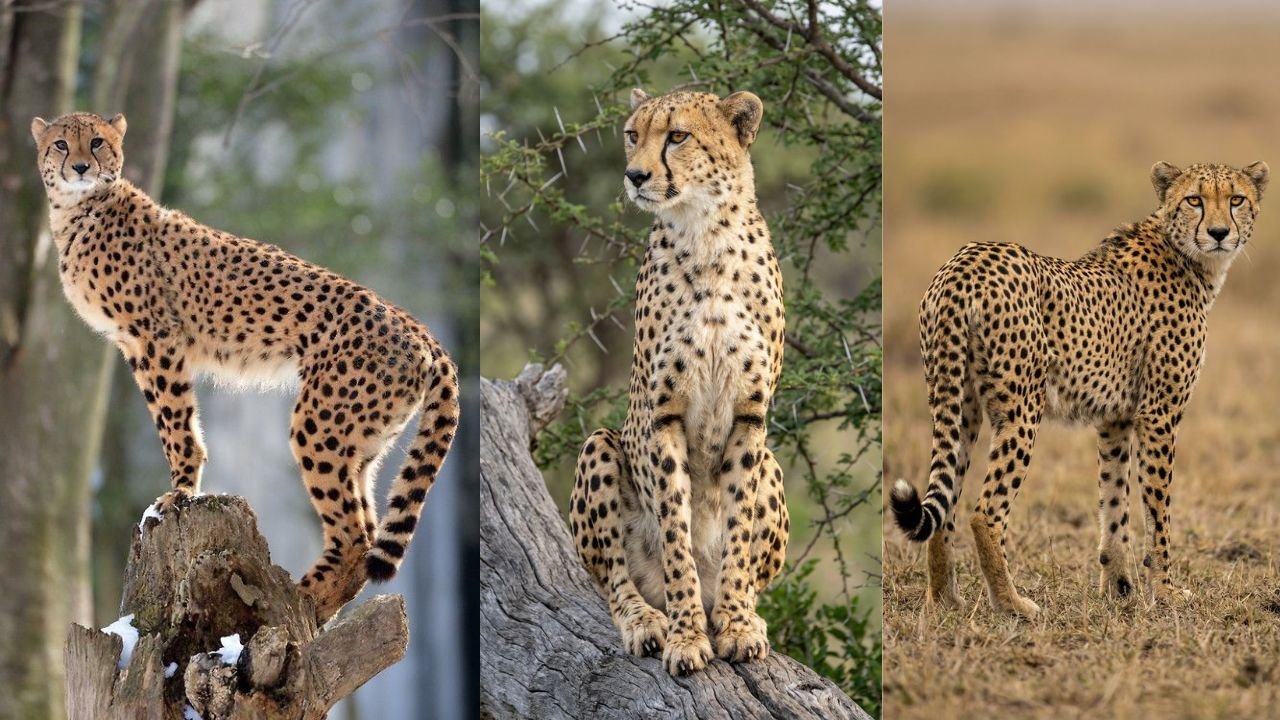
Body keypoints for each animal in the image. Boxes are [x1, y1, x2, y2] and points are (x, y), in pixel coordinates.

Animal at [31, 112, 459, 622]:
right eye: (60, 144)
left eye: (96, 142)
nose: (79, 166)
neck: (77, 211)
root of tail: (419, 329)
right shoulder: (136, 343)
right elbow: (172, 419)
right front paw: (182, 489)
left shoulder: (155, 336)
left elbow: (175, 422)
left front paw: (180, 492)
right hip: (362, 441)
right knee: (368, 528)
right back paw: (310, 606)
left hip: (319, 426)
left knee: (355, 537)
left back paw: (298, 599)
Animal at [568, 88, 789, 676]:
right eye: (632, 134)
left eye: (678, 136)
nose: (635, 175)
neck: (706, 236)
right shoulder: (662, 415)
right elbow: (675, 532)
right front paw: (687, 635)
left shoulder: (750, 416)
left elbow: (737, 528)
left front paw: (735, 625)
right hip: (601, 445)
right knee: (615, 578)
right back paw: (647, 620)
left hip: (773, 464)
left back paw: (744, 611)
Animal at [891, 160, 1268, 617]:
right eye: (1194, 200)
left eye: (1236, 199)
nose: (1218, 233)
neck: (1187, 256)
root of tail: (966, 261)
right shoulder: (1159, 415)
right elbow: (1157, 511)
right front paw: (1164, 592)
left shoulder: (1116, 419)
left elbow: (1114, 503)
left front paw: (1118, 586)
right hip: (1021, 410)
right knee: (985, 512)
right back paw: (1012, 604)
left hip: (958, 405)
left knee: (945, 504)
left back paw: (944, 599)